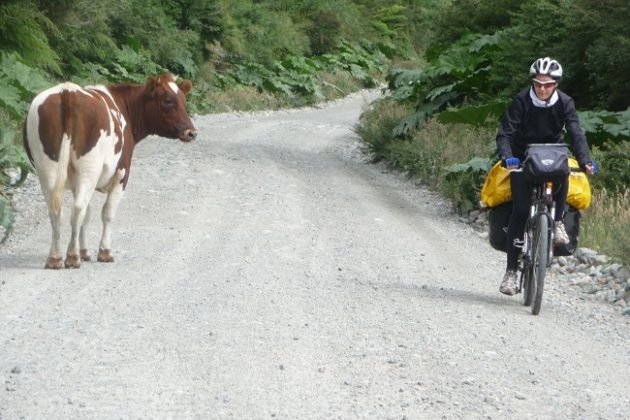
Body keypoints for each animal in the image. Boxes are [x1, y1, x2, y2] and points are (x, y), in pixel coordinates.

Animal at [24, 74, 198, 270]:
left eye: (183, 100)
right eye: (168, 100)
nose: (191, 132)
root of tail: (68, 91)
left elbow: (88, 214)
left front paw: (85, 252)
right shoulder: (122, 175)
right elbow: (107, 213)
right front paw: (104, 252)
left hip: (46, 168)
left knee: (56, 210)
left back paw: (55, 258)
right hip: (88, 168)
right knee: (77, 208)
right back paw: (72, 257)